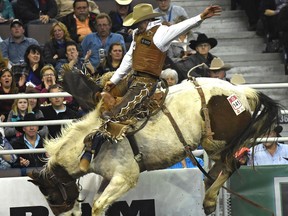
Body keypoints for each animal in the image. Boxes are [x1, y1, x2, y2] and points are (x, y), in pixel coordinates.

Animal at [28, 75, 280, 214]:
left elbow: (99, 205)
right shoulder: (110, 178)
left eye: (52, 197)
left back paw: (209, 200)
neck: (90, 144)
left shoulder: (125, 177)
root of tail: (240, 91)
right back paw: (209, 193)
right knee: (220, 168)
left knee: (232, 164)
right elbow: (100, 202)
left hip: (216, 143)